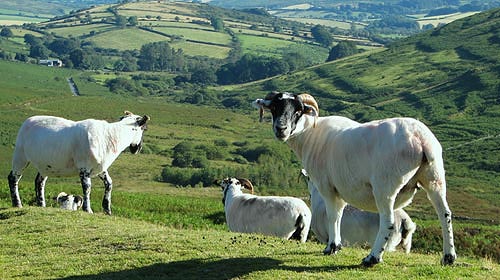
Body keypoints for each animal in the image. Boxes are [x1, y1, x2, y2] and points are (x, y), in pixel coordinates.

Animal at [7, 110, 149, 213]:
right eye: (144, 129)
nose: (138, 148)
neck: (111, 136)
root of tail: (28, 120)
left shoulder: (100, 167)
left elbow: (109, 183)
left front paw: (107, 210)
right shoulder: (84, 167)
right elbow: (87, 187)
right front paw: (88, 209)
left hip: (45, 164)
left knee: (39, 181)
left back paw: (41, 204)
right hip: (20, 155)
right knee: (13, 178)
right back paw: (17, 204)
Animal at [254, 92, 458, 266]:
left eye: (297, 110)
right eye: (274, 108)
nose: (281, 129)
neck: (310, 135)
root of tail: (421, 139)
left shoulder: (327, 187)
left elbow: (332, 216)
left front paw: (330, 247)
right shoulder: (342, 188)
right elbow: (339, 216)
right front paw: (337, 245)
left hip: (385, 185)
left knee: (388, 222)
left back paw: (372, 258)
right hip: (435, 178)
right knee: (445, 214)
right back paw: (448, 257)